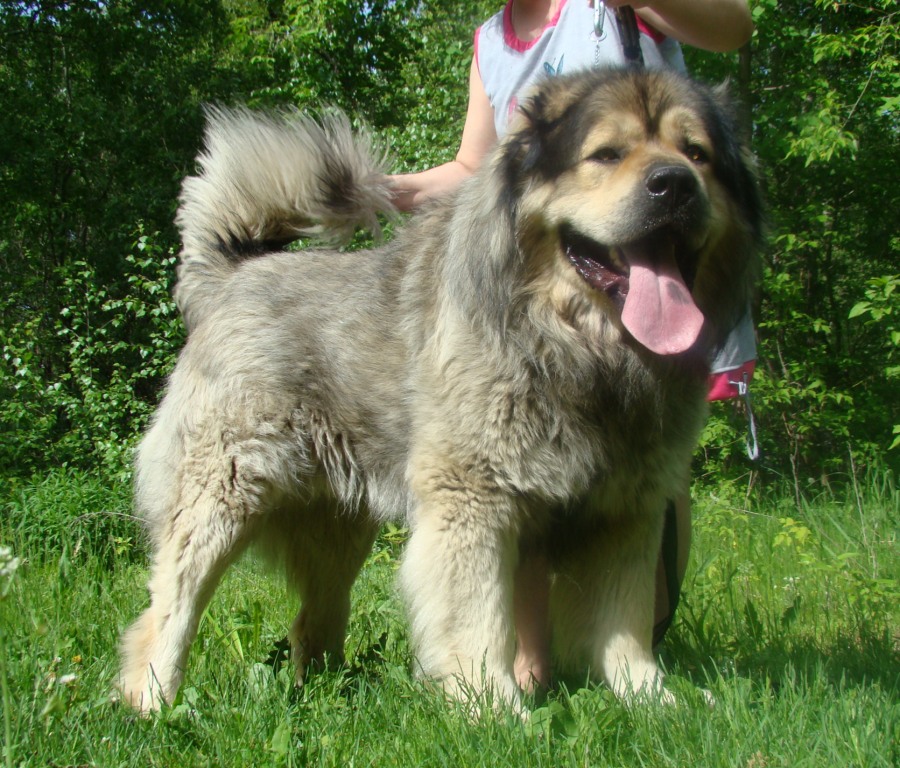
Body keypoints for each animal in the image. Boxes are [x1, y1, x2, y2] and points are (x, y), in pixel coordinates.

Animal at [117, 68, 762, 713]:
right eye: (606, 154)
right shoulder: (473, 499)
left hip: (337, 528)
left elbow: (624, 624)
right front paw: (497, 708)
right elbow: (479, 620)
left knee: (313, 621)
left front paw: (653, 701)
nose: (674, 184)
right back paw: (153, 702)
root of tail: (233, 274)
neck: (579, 349)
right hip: (223, 494)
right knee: (169, 608)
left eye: (697, 154)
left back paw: (328, 696)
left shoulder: (625, 512)